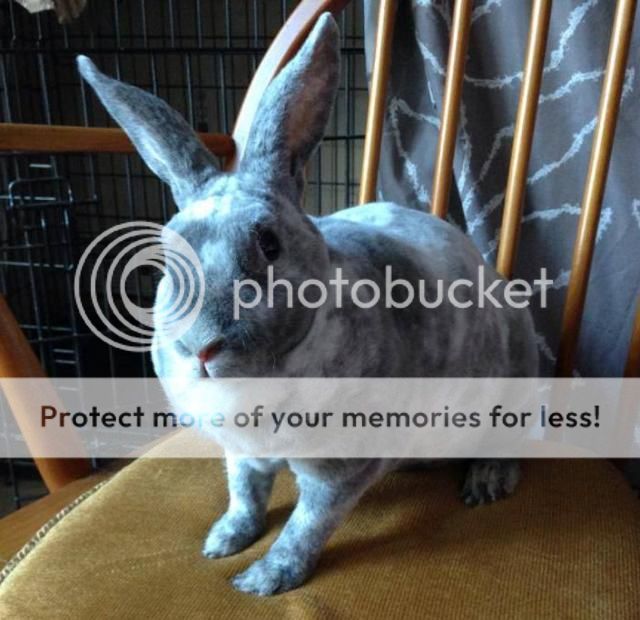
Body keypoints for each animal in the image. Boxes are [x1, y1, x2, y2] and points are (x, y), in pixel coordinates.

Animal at [77, 13, 540, 596]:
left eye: (269, 244)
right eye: (165, 253)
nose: (199, 347)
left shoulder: (337, 469)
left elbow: (307, 524)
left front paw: (263, 580)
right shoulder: (242, 456)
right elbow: (245, 495)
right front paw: (222, 541)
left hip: (514, 378)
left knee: (516, 440)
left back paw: (487, 483)